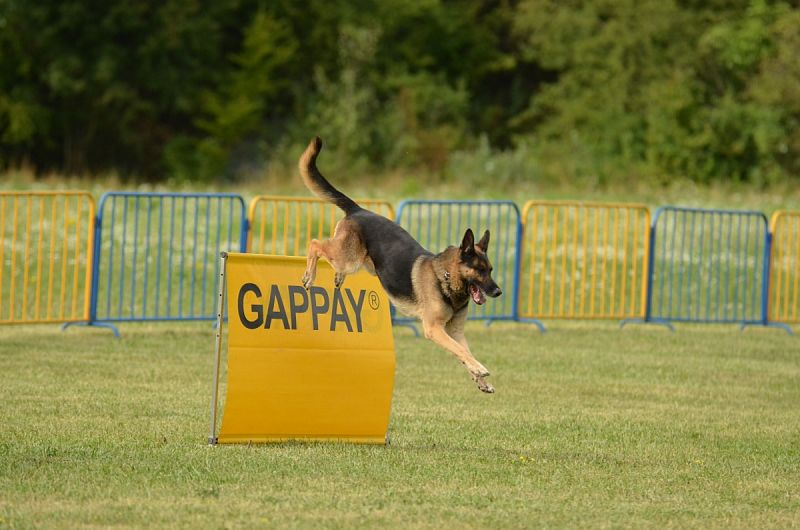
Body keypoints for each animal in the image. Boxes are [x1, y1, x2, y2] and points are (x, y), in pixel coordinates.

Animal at [298, 136, 500, 392]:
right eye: (479, 270)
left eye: (490, 270)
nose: (498, 291)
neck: (444, 278)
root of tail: (358, 209)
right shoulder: (434, 329)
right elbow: (460, 351)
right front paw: (480, 370)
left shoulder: (455, 331)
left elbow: (465, 351)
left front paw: (480, 380)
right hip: (349, 259)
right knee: (315, 244)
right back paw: (309, 276)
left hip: (353, 262)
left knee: (331, 259)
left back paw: (337, 278)